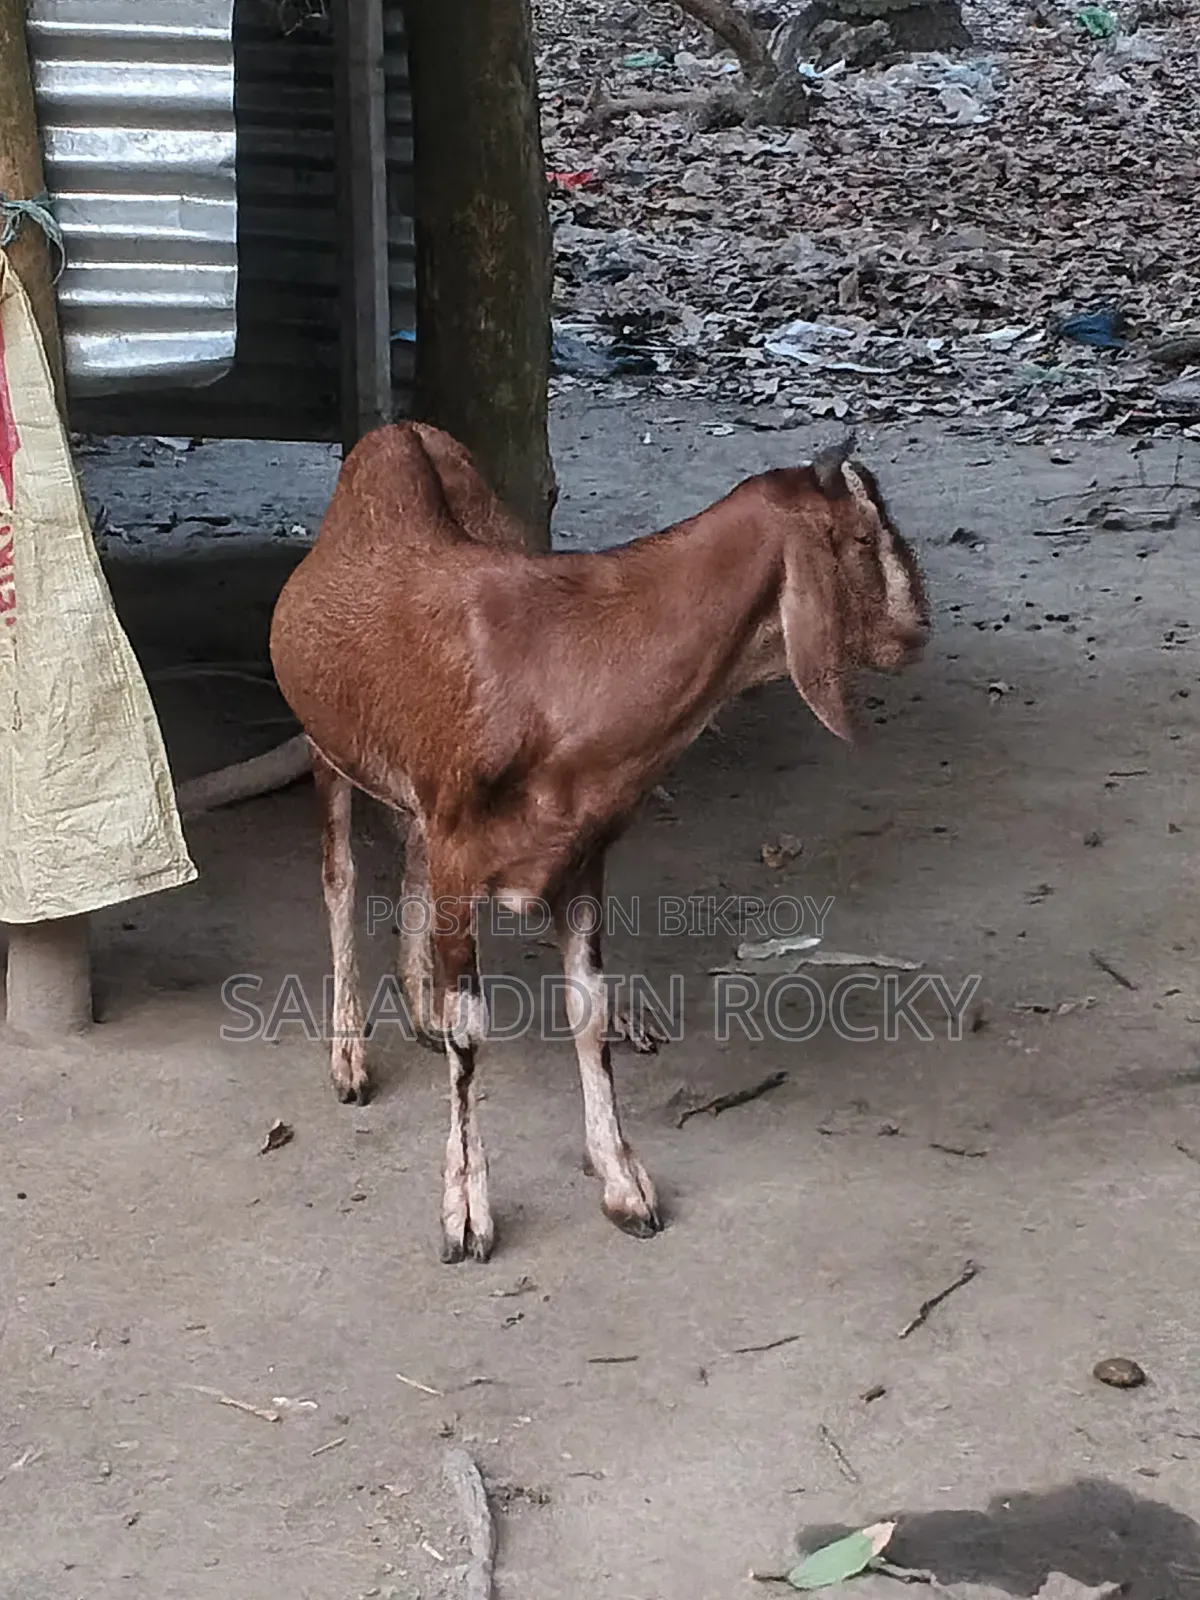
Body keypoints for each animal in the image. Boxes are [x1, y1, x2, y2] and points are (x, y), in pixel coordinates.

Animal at [269, 422, 929, 1263]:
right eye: (863, 537)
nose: (917, 631)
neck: (561, 666)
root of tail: (397, 433)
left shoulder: (581, 857)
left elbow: (589, 1010)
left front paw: (622, 1180)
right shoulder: (459, 853)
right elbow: (470, 1036)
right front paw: (465, 1211)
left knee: (404, 850)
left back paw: (417, 1006)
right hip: (326, 746)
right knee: (340, 876)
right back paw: (350, 1053)